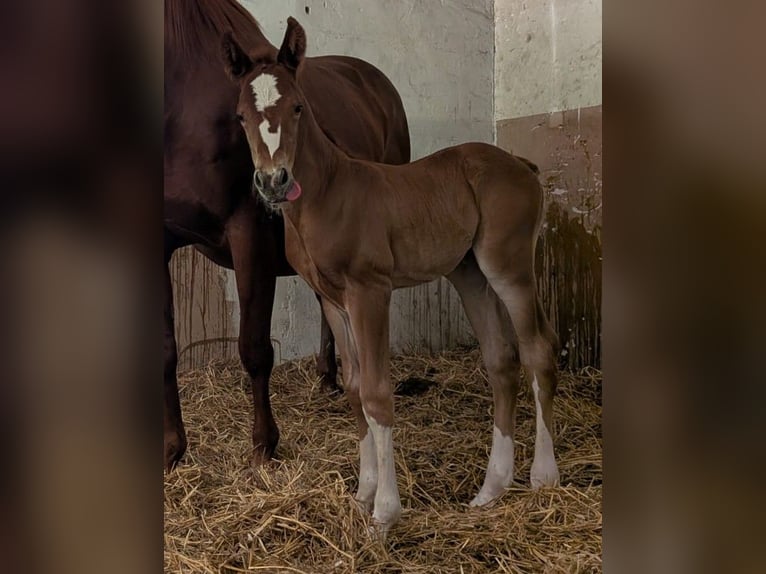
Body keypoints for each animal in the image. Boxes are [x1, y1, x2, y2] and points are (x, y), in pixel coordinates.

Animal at [164, 0, 410, 471]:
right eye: (240, 116)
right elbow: (164, 348)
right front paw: (171, 448)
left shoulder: (250, 234)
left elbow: (255, 348)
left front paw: (264, 445)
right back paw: (329, 377)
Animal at [222, 17, 561, 535]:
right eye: (241, 116)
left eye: (298, 107)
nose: (273, 182)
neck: (329, 193)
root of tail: (521, 164)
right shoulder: (332, 300)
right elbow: (354, 387)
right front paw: (363, 494)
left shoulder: (370, 291)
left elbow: (378, 393)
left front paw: (385, 512)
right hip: (469, 274)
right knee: (501, 360)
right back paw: (491, 489)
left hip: (509, 266)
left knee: (538, 350)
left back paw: (544, 476)